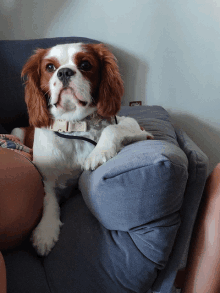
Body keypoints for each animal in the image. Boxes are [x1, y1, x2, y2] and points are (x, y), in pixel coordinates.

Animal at [13, 42, 154, 254]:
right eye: (49, 67)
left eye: (85, 64)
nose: (64, 72)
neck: (74, 125)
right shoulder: (47, 177)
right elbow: (48, 198)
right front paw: (46, 230)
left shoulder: (140, 129)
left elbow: (112, 128)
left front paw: (99, 153)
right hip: (17, 132)